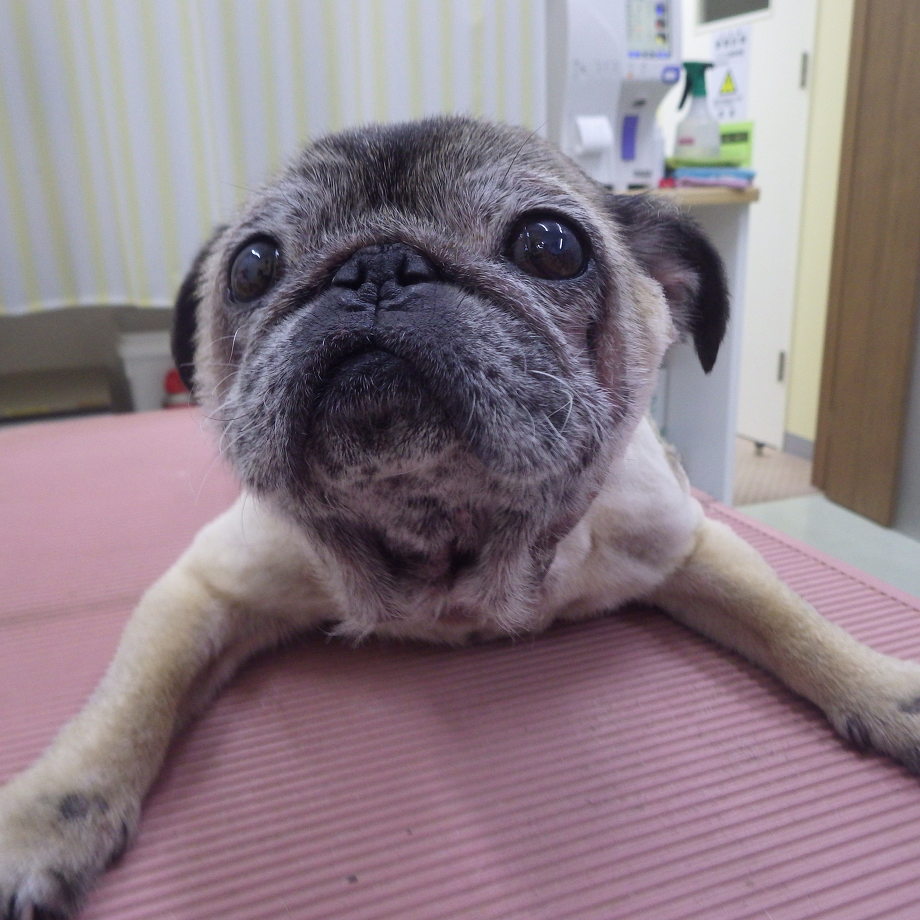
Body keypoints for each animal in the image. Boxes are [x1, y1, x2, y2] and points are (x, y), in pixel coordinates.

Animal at [3, 115, 920, 919]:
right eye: (253, 266)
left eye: (551, 245)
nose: (376, 265)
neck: (444, 532)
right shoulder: (207, 585)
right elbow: (127, 707)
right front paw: (42, 824)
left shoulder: (687, 543)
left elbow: (790, 620)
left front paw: (881, 690)